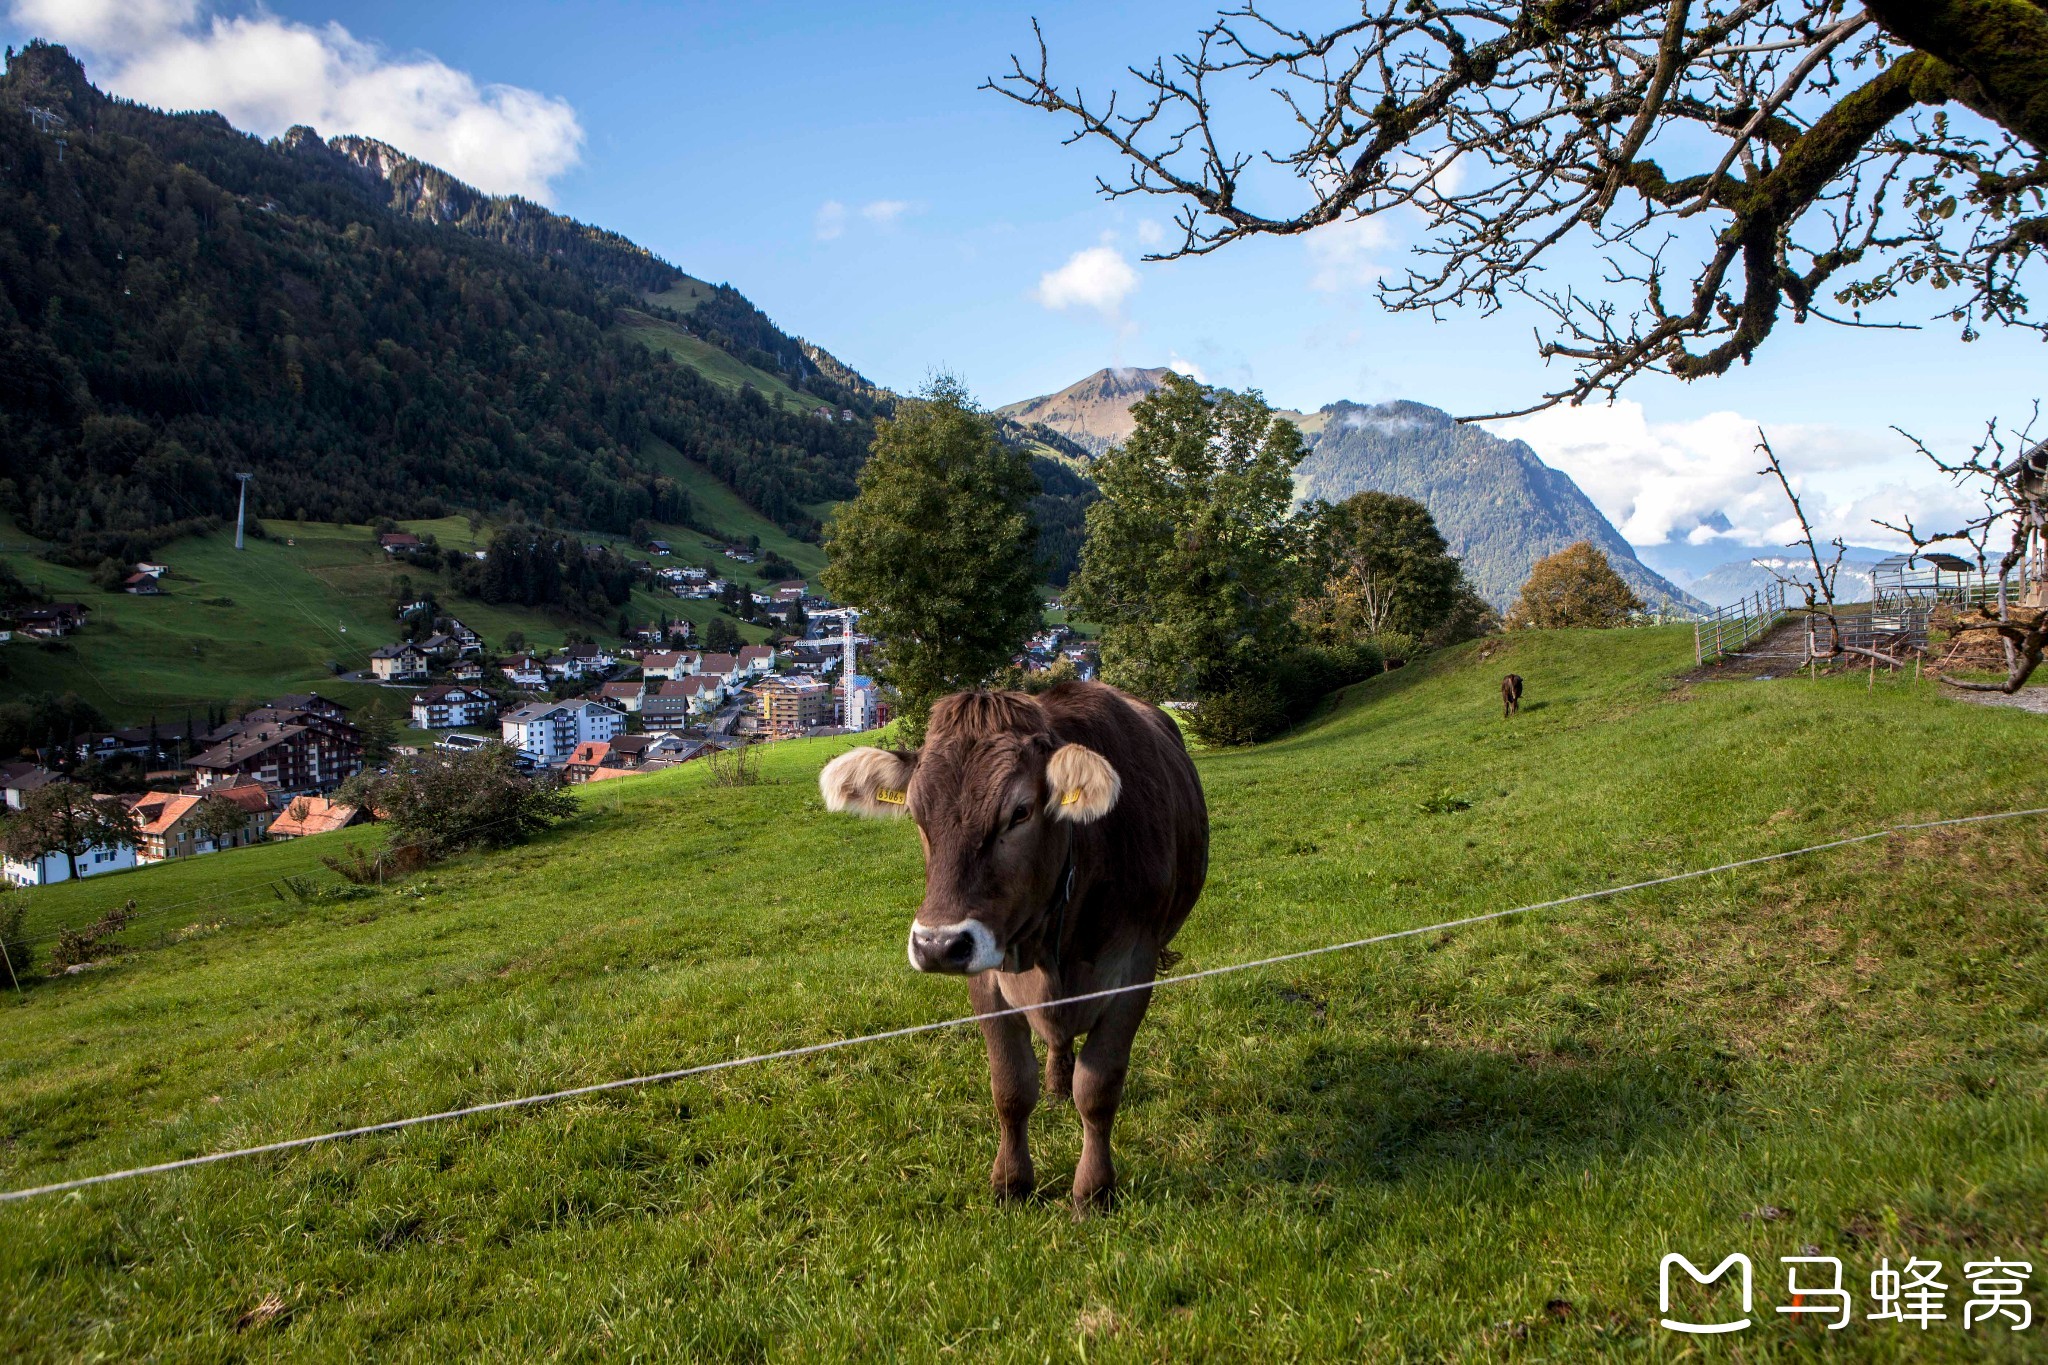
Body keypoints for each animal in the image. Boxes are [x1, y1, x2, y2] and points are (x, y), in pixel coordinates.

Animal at [815, 687, 1204, 1211]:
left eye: (1020, 812)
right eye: (916, 813)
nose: (937, 945)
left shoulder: (1134, 970)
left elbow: (1098, 1087)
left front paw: (1094, 1190)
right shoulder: (986, 973)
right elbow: (1012, 1087)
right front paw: (1011, 1182)